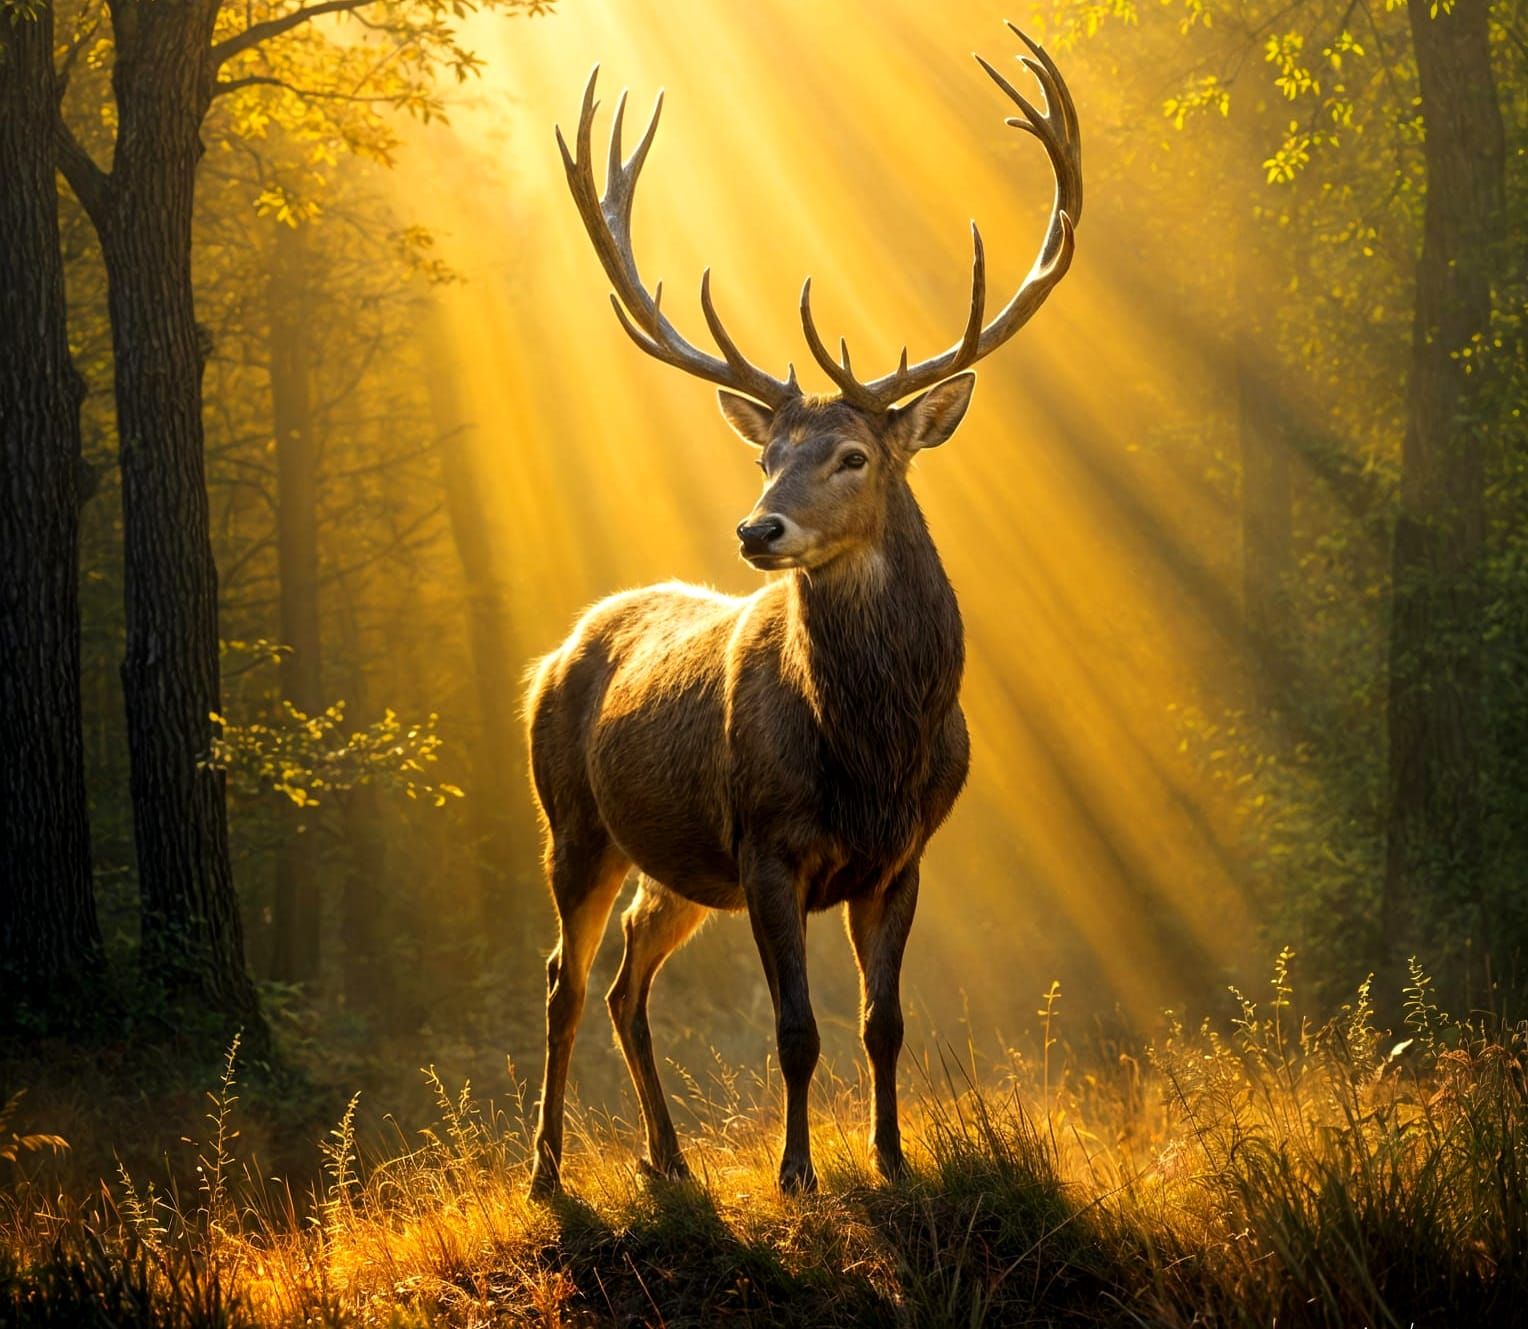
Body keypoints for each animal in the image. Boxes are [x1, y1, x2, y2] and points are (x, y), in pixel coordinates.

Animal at [525, 22, 1081, 1199]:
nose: (757, 529)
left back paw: (668, 1159)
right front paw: (796, 1174)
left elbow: (883, 1023)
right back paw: (547, 1171)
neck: (872, 748)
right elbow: (795, 1030)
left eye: (852, 454)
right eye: (765, 454)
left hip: (678, 866)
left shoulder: (904, 854)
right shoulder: (768, 843)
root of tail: (553, 654)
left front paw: (892, 1158)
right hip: (575, 818)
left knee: (626, 981)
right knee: (564, 974)